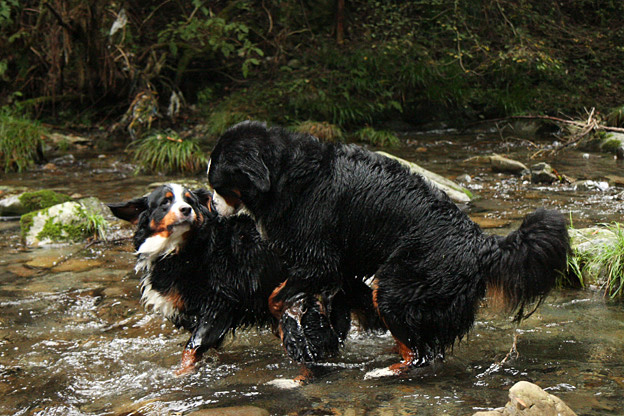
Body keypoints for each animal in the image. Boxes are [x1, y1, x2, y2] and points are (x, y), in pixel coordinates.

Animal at [207, 119, 572, 376]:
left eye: (218, 185)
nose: (209, 206)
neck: (284, 175)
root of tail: (479, 243)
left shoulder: (317, 258)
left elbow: (276, 295)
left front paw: (286, 323)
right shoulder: (338, 268)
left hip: (402, 285)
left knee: (419, 352)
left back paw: (387, 371)